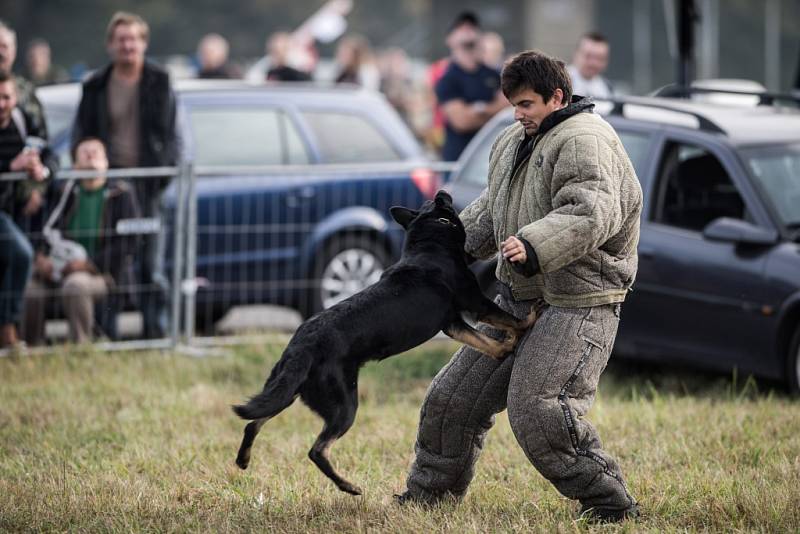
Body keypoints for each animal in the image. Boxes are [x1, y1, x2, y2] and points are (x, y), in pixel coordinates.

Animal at [234, 192, 540, 498]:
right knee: (316, 450)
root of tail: (302, 345)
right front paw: (528, 320)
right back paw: (349, 487)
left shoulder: (453, 324)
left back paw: (243, 460)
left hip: (285, 391)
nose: (442, 193)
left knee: (253, 422)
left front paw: (504, 347)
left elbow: (485, 341)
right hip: (343, 405)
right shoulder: (475, 304)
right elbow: (510, 320)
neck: (428, 242)